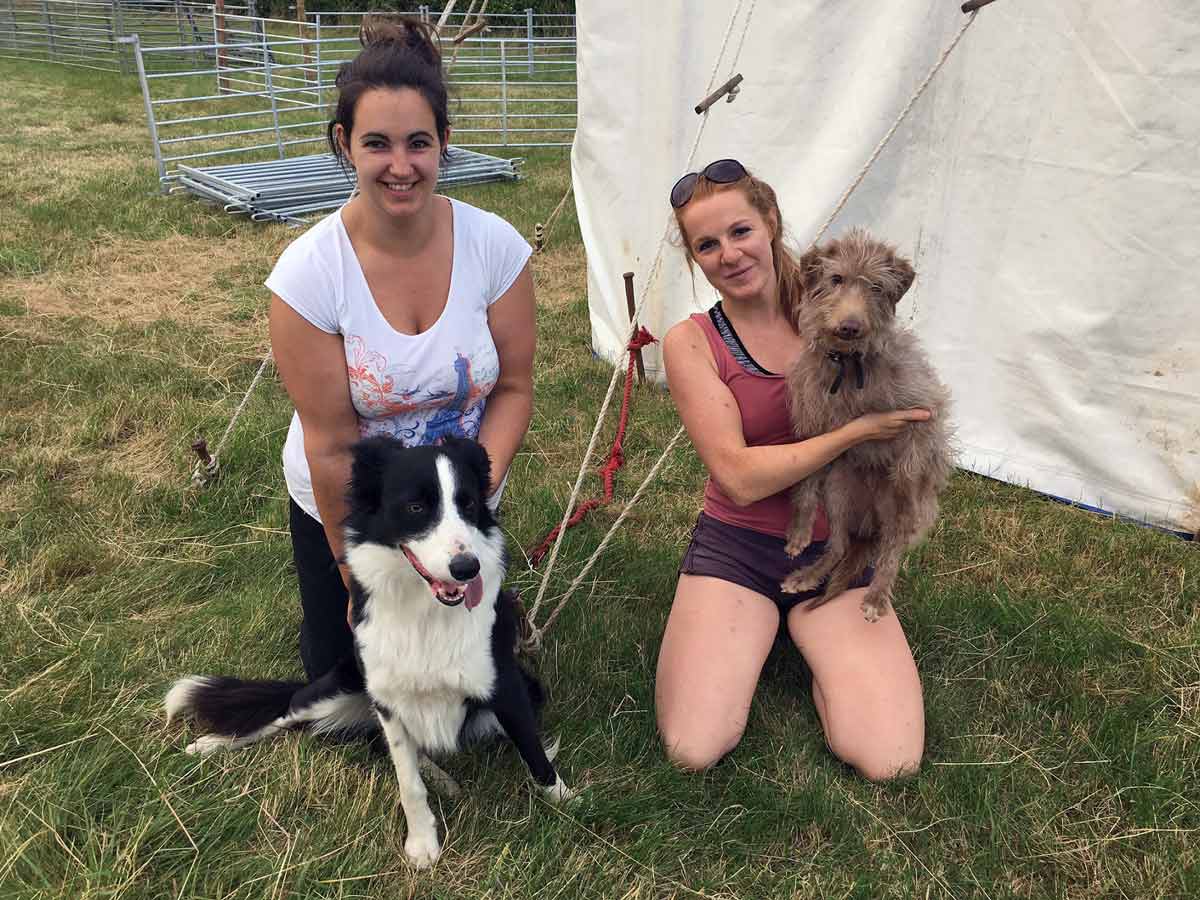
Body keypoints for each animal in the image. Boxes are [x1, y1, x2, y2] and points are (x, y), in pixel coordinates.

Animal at [782, 229, 950, 624]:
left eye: (876, 286)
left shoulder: (924, 414)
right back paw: (807, 575)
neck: (848, 364)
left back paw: (876, 594)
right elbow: (805, 486)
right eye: (836, 279)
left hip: (896, 510)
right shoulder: (815, 426)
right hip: (839, 490)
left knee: (892, 546)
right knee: (839, 546)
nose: (850, 327)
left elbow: (915, 457)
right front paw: (799, 531)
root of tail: (869, 523)